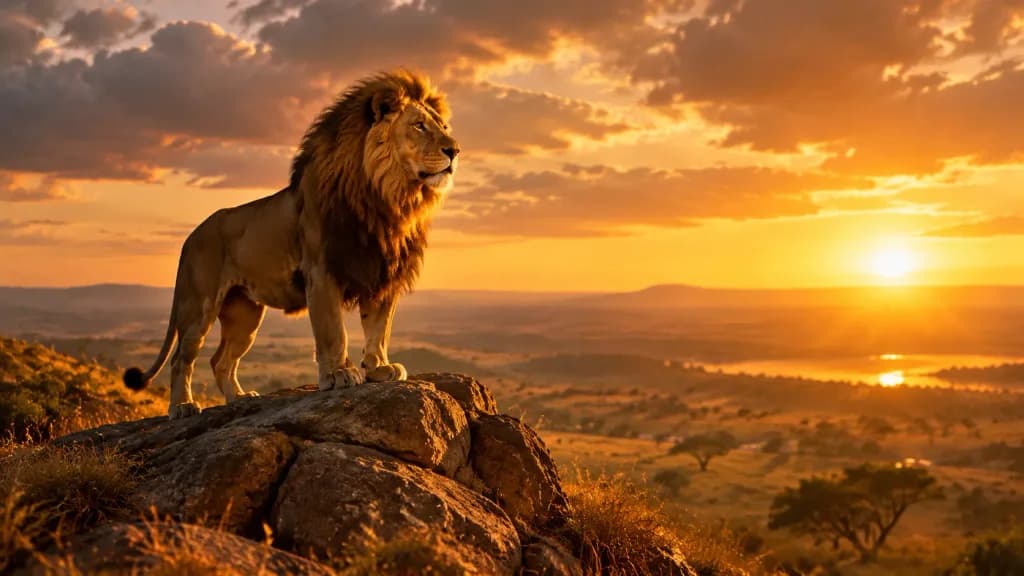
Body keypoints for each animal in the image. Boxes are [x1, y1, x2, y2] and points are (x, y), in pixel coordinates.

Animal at [123, 70, 459, 419]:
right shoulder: (322, 271)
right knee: (181, 359)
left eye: (444, 127)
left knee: (220, 360)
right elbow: (333, 330)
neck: (387, 196)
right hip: (198, 306)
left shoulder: (381, 272)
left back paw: (240, 397)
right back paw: (182, 407)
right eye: (419, 125)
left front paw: (379, 368)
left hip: (244, 315)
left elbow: (379, 327)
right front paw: (339, 374)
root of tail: (191, 237)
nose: (455, 150)